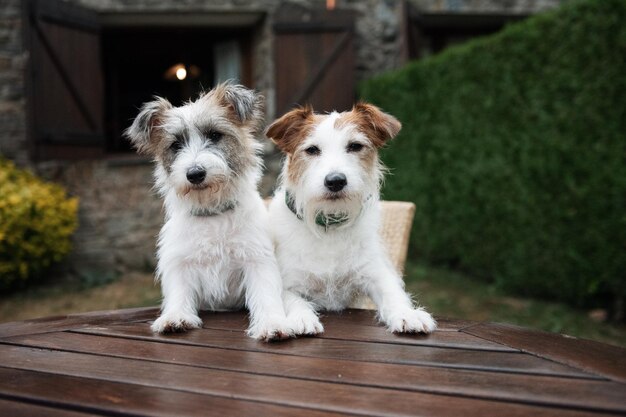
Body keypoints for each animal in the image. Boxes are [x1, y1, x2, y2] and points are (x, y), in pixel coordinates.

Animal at [127, 83, 294, 340]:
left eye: (215, 135)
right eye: (176, 145)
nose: (195, 174)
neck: (212, 214)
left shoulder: (257, 260)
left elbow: (265, 295)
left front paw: (272, 323)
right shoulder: (180, 264)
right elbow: (179, 293)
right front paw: (175, 316)